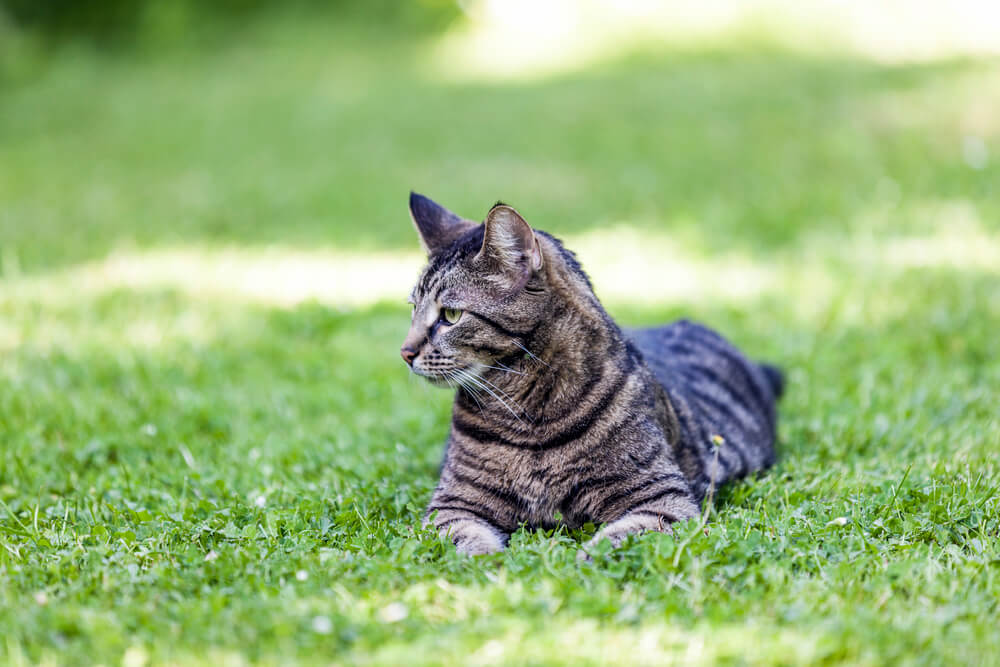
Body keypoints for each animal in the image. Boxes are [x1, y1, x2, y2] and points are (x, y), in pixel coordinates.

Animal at [398, 193, 780, 560]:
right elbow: (468, 539)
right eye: (413, 309)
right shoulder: (454, 504)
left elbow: (617, 538)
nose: (405, 352)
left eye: (451, 315)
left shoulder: (660, 498)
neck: (527, 413)